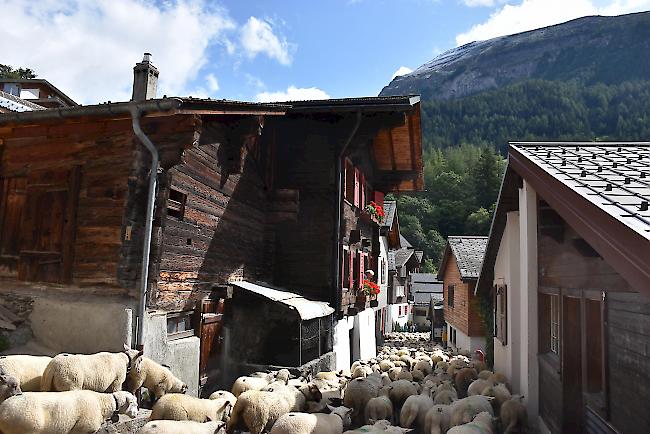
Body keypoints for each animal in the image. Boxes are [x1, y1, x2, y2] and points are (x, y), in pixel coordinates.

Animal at [0, 390, 135, 434]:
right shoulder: (83, 428)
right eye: (135, 403)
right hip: (26, 425)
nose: (136, 414)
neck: (102, 402)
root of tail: (3, 410)